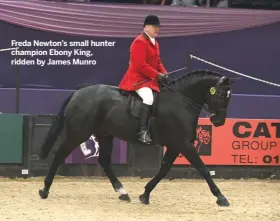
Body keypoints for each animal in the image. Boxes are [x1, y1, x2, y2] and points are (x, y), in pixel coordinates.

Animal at [38, 69, 233, 207]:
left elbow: (164, 170)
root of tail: (80, 90)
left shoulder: (175, 145)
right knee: (59, 154)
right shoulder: (184, 145)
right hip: (78, 132)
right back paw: (44, 190)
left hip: (104, 134)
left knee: (104, 160)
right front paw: (221, 197)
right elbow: (203, 168)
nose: (219, 121)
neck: (181, 102)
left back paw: (122, 192)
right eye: (221, 95)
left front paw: (145, 194)